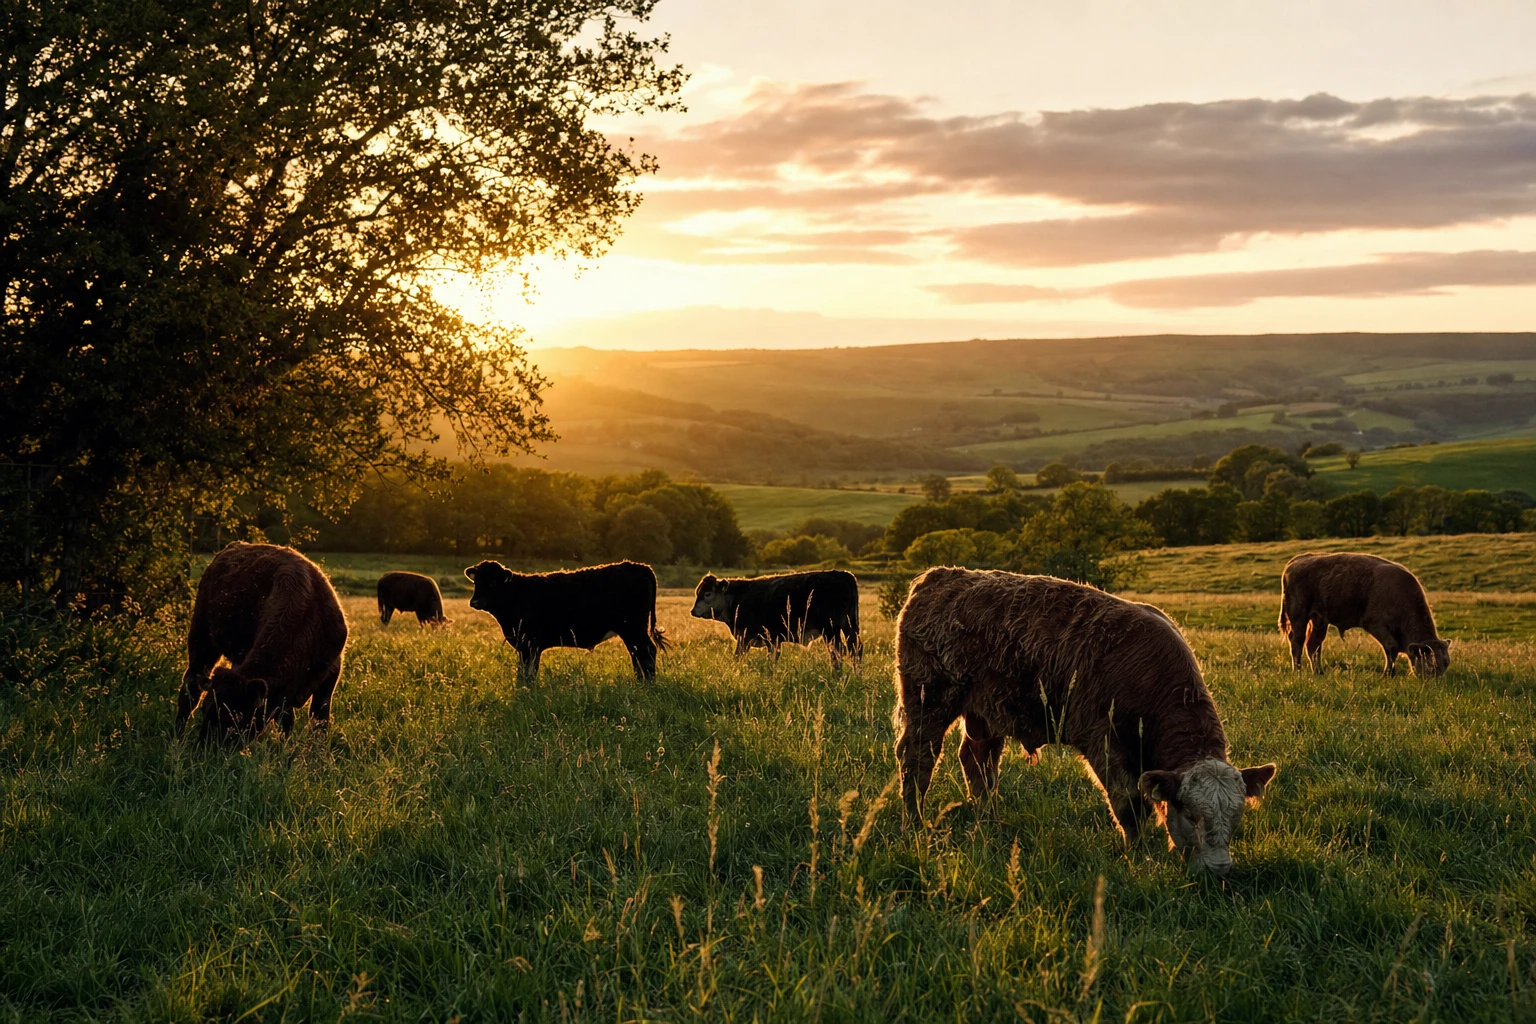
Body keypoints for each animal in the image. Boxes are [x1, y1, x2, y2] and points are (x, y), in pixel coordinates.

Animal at [177, 542, 348, 742]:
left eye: (235, 716)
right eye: (206, 710)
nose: (204, 745)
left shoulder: (329, 675)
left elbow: (318, 722)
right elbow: (287, 719)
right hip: (201, 637)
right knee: (190, 687)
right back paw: (177, 734)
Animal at [464, 560, 670, 681]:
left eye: (492, 582)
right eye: (476, 581)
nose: (475, 602)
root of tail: (636, 565)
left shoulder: (529, 644)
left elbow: (527, 673)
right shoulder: (527, 646)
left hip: (633, 628)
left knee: (646, 652)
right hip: (632, 631)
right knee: (637, 654)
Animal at [690, 570, 862, 667]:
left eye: (707, 594)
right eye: (697, 592)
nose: (693, 611)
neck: (738, 598)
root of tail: (844, 575)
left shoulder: (745, 637)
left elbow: (739, 657)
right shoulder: (773, 640)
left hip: (830, 630)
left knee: (837, 652)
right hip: (849, 627)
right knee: (855, 649)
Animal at [893, 568, 1276, 875]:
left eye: (1237, 817)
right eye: (1192, 815)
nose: (1220, 869)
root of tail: (940, 577)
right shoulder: (1105, 746)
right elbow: (1129, 807)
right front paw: (1139, 857)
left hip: (986, 714)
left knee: (978, 762)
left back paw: (990, 821)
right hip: (929, 702)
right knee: (918, 760)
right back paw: (914, 823)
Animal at [1280, 552, 1450, 677]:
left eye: (1445, 664)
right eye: (1431, 666)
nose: (1437, 683)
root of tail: (1296, 560)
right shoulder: (1376, 625)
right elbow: (1391, 647)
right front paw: (1388, 674)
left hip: (1319, 620)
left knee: (1313, 644)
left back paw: (1318, 672)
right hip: (1299, 617)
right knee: (1297, 641)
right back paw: (1298, 671)